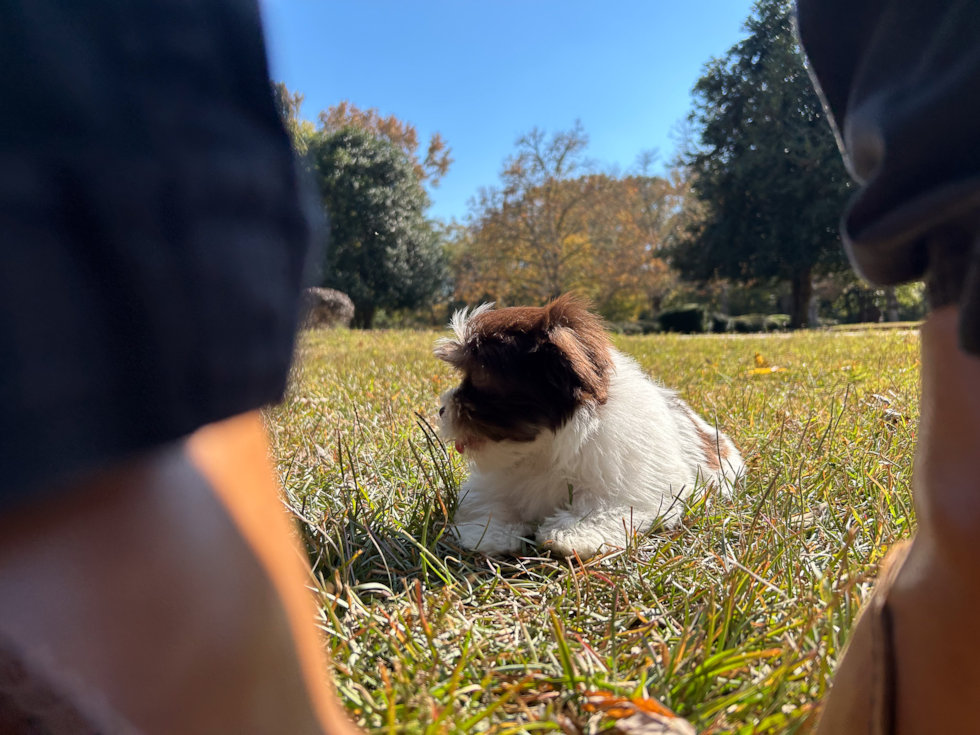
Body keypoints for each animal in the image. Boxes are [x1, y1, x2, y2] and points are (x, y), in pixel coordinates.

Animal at [436, 294, 744, 556]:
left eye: (481, 382)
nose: (441, 410)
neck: (545, 451)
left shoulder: (631, 487)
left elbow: (603, 506)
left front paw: (571, 533)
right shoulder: (492, 485)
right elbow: (491, 503)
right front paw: (489, 533)